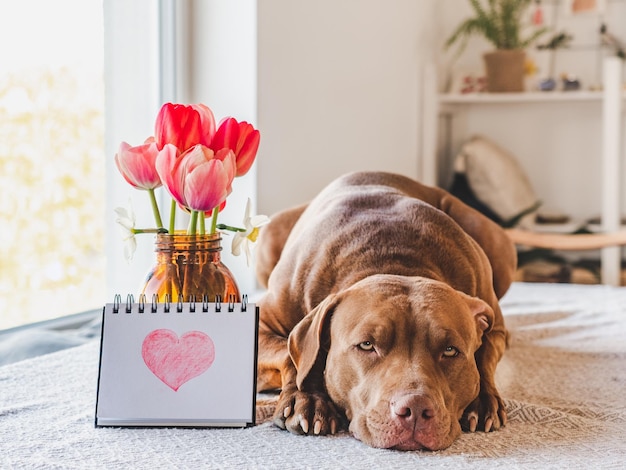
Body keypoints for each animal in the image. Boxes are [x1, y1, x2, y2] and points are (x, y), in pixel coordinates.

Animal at [251, 171, 516, 450]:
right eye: (367, 345)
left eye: (450, 350)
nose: (415, 408)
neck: (396, 261)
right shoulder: (261, 324)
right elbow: (290, 355)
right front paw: (309, 399)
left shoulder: (495, 327)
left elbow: (485, 356)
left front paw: (483, 400)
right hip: (268, 235)